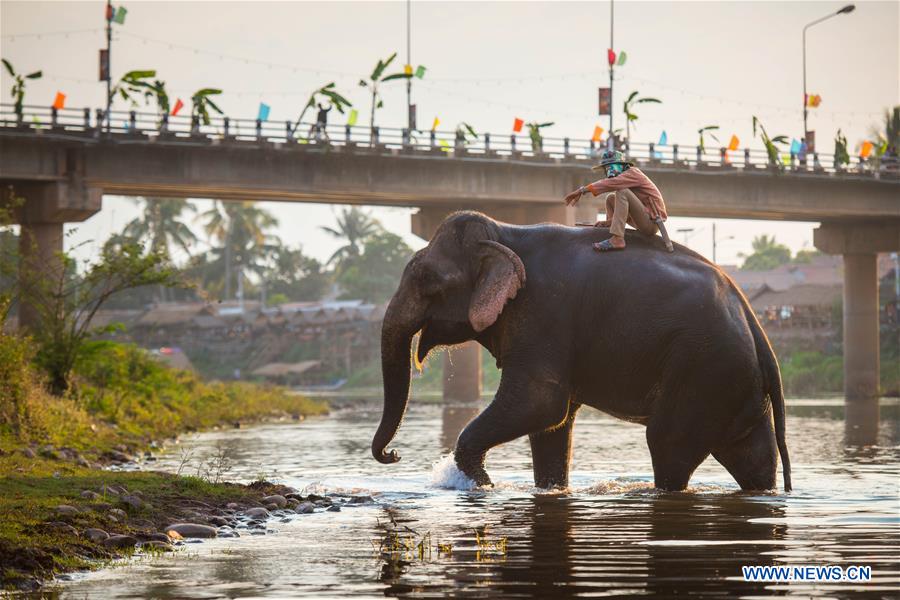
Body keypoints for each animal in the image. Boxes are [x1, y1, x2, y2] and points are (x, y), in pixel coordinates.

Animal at [370, 211, 792, 492]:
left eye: (427, 280)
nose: (393, 455)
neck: (504, 232)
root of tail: (755, 326)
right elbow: (551, 424)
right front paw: (545, 489)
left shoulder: (544, 311)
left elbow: (539, 403)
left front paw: (481, 482)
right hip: (730, 382)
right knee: (753, 455)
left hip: (702, 368)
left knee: (668, 444)